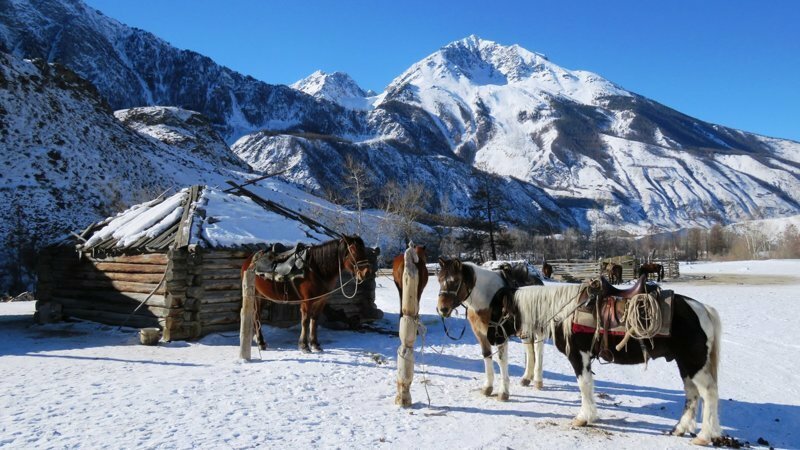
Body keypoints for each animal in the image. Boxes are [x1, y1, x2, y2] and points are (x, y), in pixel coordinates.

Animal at [241, 234, 372, 354]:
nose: (366, 273)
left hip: (262, 296)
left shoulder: (321, 301)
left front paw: (315, 345)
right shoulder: (307, 301)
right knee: (256, 315)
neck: (316, 269)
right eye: (354, 251)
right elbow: (305, 321)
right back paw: (260, 342)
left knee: (257, 315)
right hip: (254, 295)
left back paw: (261, 342)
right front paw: (304, 346)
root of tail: (250, 260)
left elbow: (314, 321)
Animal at [434, 256, 548, 400]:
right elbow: (487, 355)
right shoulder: (481, 334)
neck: (486, 300)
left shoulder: (499, 335)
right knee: (529, 348)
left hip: (538, 327)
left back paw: (538, 381)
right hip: (524, 329)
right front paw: (487, 388)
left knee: (539, 349)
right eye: (439, 280)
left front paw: (503, 392)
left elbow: (501, 360)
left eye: (455, 281)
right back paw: (526, 378)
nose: (442, 309)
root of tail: (538, 282)